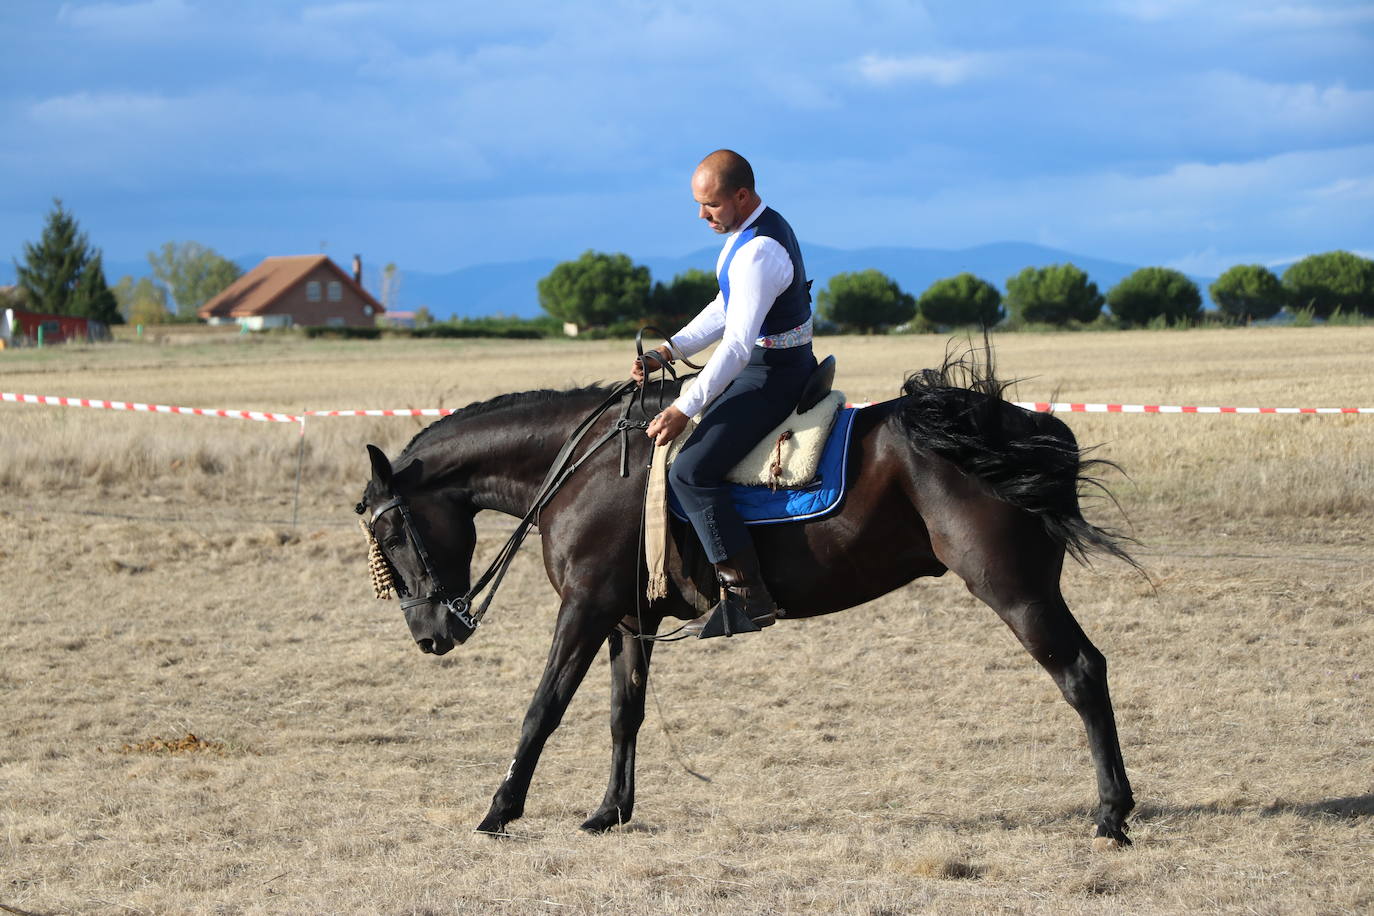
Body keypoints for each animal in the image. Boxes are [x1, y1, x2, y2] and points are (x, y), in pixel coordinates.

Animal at [354, 347, 1137, 851]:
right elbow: (623, 715)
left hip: (1015, 591)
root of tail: (1023, 428)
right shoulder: (627, 618)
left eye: (391, 530)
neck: (593, 471)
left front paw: (499, 812)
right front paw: (609, 812)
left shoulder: (584, 608)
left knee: (1081, 673)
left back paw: (1111, 815)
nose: (430, 633)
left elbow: (542, 709)